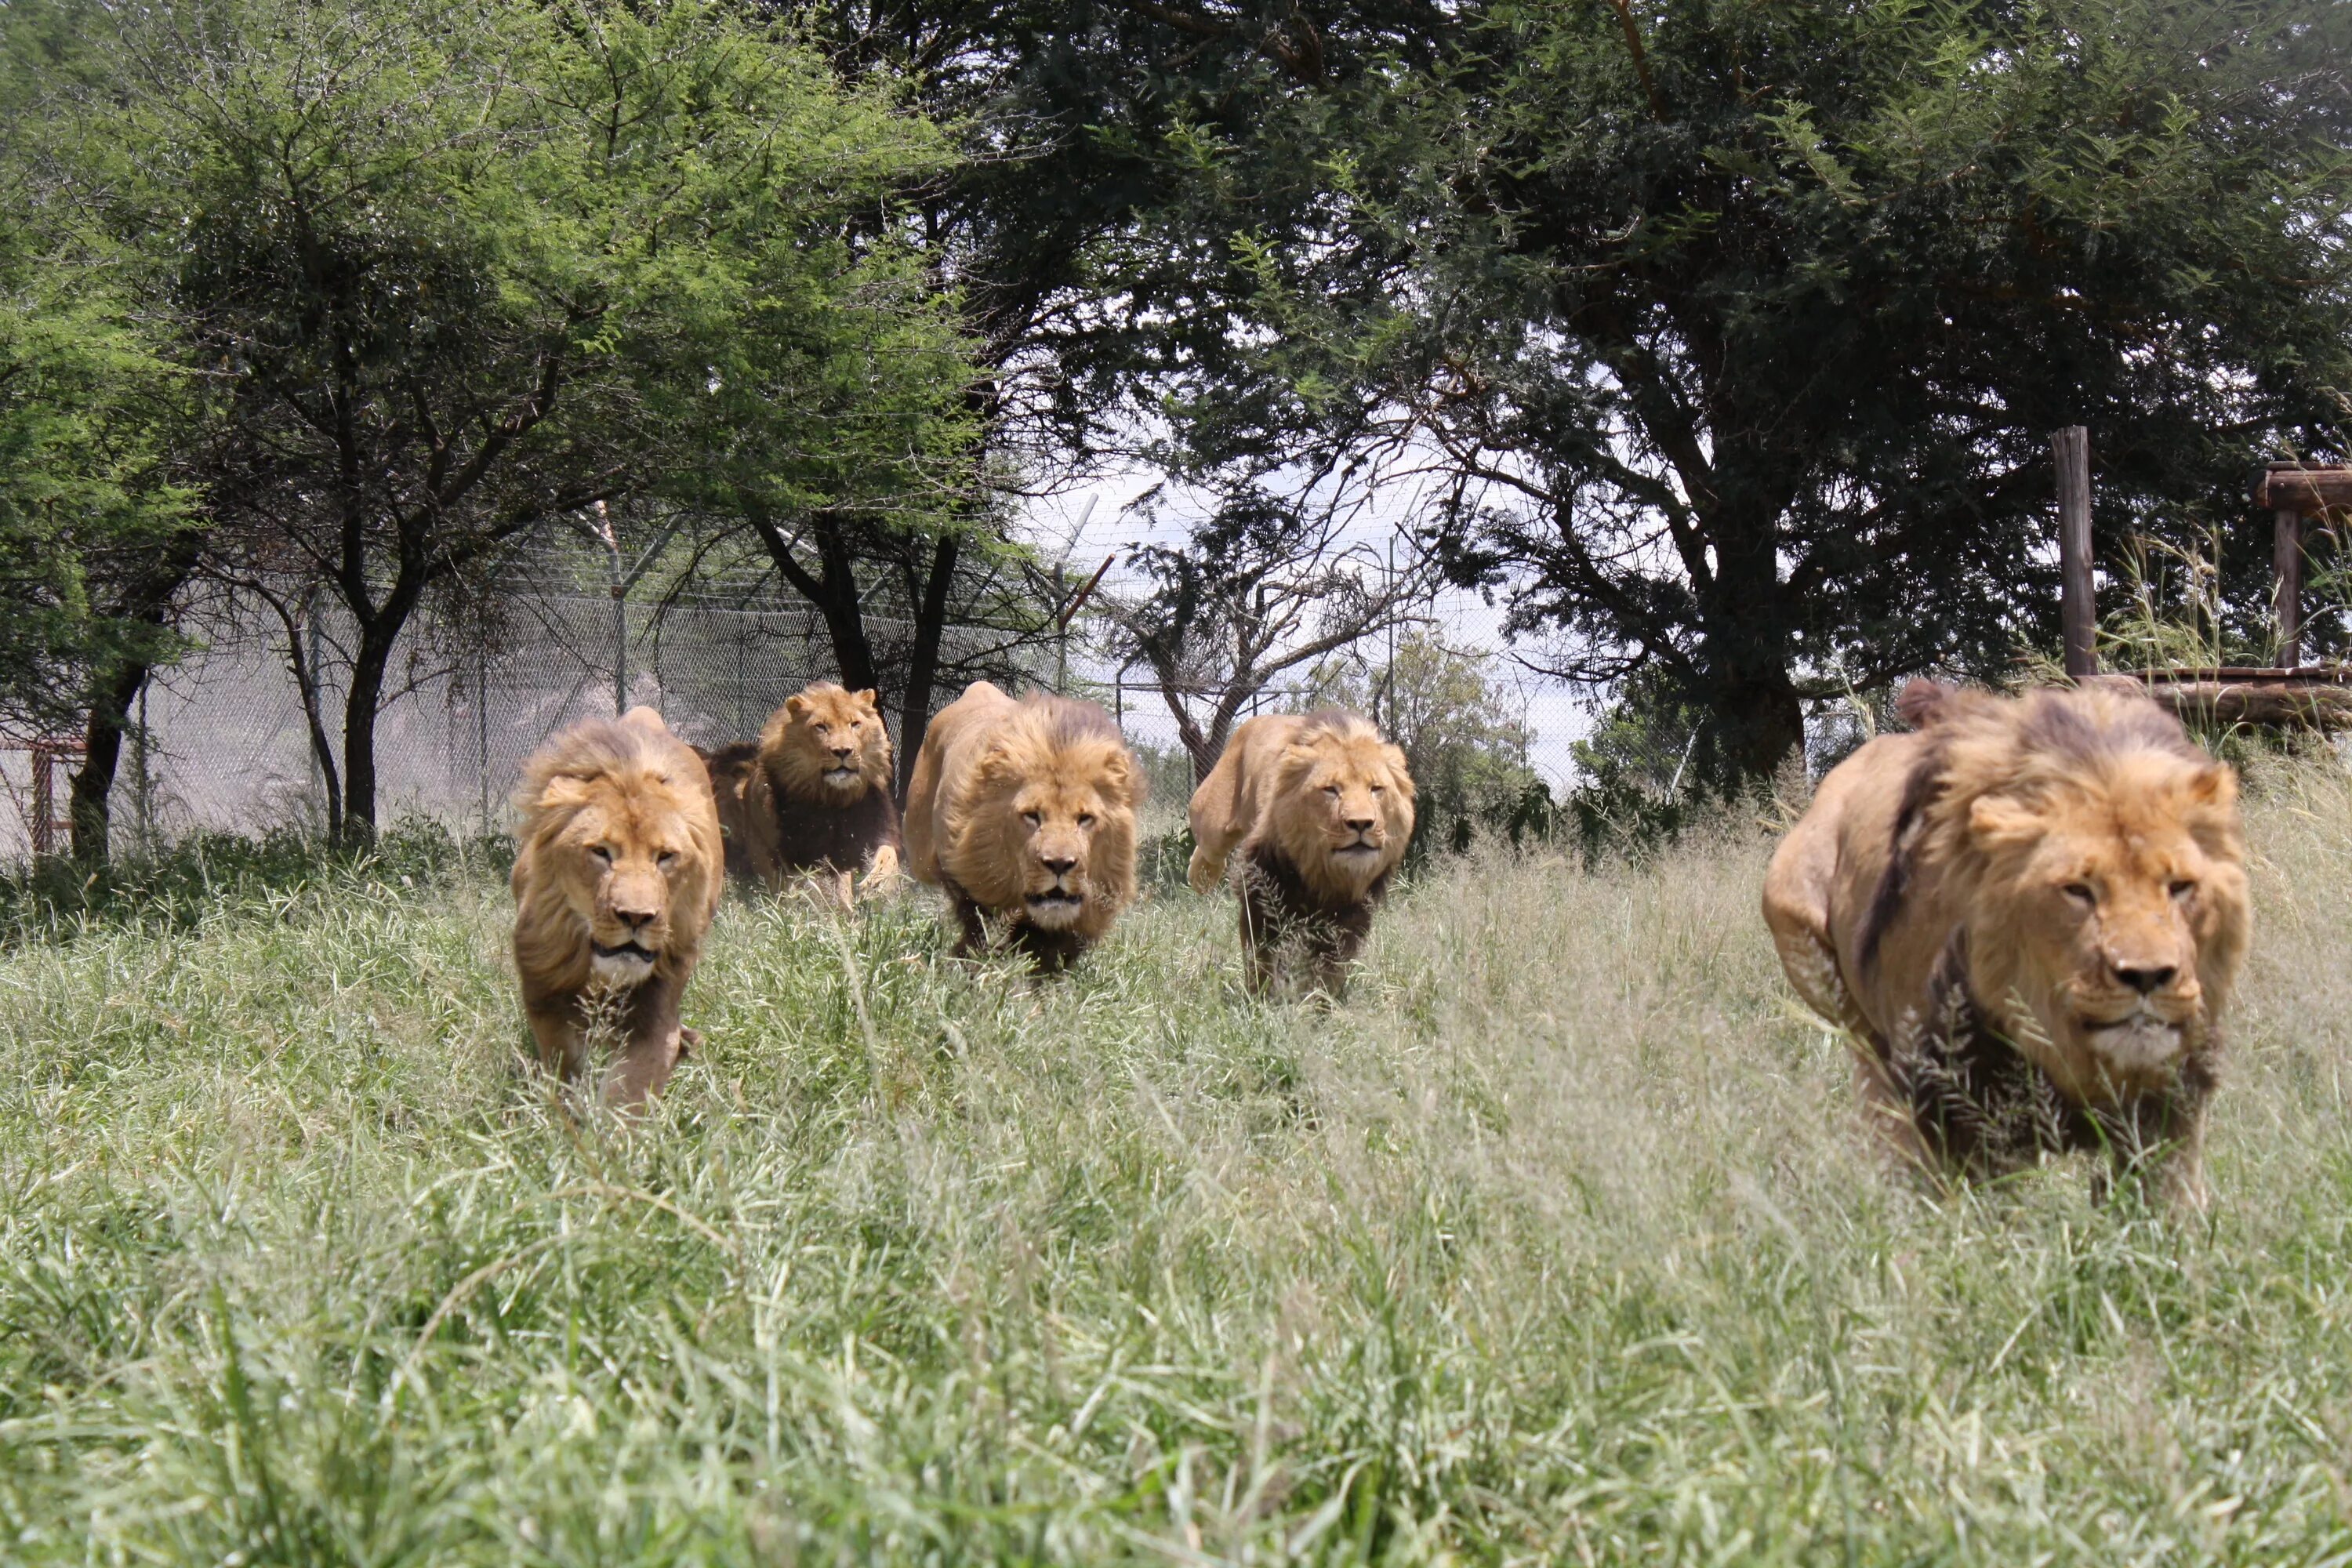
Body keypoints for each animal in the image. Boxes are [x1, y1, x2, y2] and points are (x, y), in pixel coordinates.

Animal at [515, 705, 724, 1109]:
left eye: (665, 857)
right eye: (601, 852)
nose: (636, 917)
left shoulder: (655, 1014)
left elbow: (628, 1095)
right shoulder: (545, 996)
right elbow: (564, 1077)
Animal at [701, 681, 894, 907]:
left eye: (855, 724)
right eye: (821, 727)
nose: (843, 751)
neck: (835, 798)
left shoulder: (870, 832)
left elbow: (888, 856)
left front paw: (877, 885)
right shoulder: (804, 852)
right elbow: (830, 883)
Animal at [903, 681, 1143, 973]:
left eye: (1085, 818)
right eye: (1032, 816)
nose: (1059, 864)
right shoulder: (973, 883)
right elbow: (980, 933)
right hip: (919, 850)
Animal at [1195, 710, 1411, 992]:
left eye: (1376, 789)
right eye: (1331, 789)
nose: (1361, 823)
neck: (1323, 872)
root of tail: (1258, 719)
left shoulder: (1348, 917)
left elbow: (1329, 971)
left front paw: (1320, 1000)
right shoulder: (1259, 898)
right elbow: (1260, 960)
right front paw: (1260, 996)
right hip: (1211, 819)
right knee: (1207, 846)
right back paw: (1201, 877)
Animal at [1769, 681, 2239, 1213]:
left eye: (2179, 887)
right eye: (2077, 890)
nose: (2147, 976)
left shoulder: (2175, 1095)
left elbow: (2168, 1204)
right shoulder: (1955, 1101)